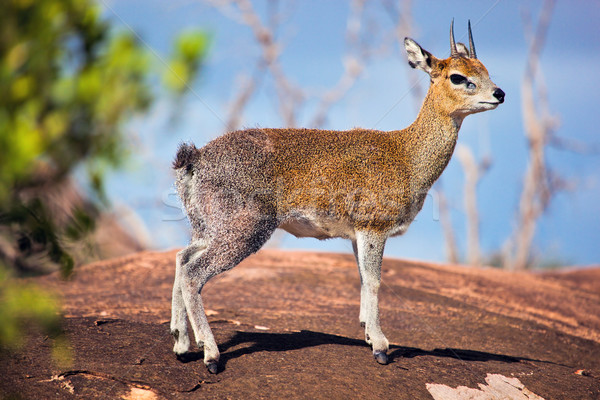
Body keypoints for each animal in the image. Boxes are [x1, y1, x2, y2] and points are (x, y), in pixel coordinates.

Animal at [171, 20, 504, 374]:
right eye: (457, 75)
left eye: (485, 69)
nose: (499, 94)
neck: (406, 155)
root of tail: (195, 158)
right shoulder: (374, 228)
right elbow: (374, 280)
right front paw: (381, 347)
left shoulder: (357, 235)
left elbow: (362, 279)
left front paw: (369, 335)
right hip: (242, 232)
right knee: (193, 274)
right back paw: (210, 354)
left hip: (208, 230)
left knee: (181, 258)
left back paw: (181, 344)